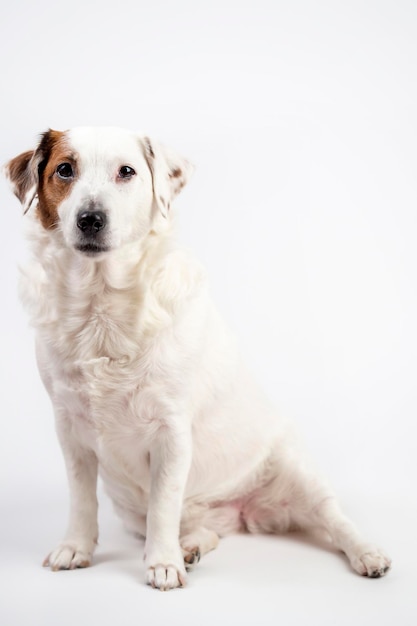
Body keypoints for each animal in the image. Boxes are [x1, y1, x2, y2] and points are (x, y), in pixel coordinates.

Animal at [4, 128, 390, 588]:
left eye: (126, 172)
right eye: (64, 169)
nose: (90, 218)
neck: (102, 307)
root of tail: (243, 513)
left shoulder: (171, 431)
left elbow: (164, 504)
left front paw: (162, 563)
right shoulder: (70, 430)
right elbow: (82, 499)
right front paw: (76, 547)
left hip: (299, 473)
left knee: (335, 520)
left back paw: (367, 553)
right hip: (136, 511)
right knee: (201, 528)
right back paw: (191, 546)